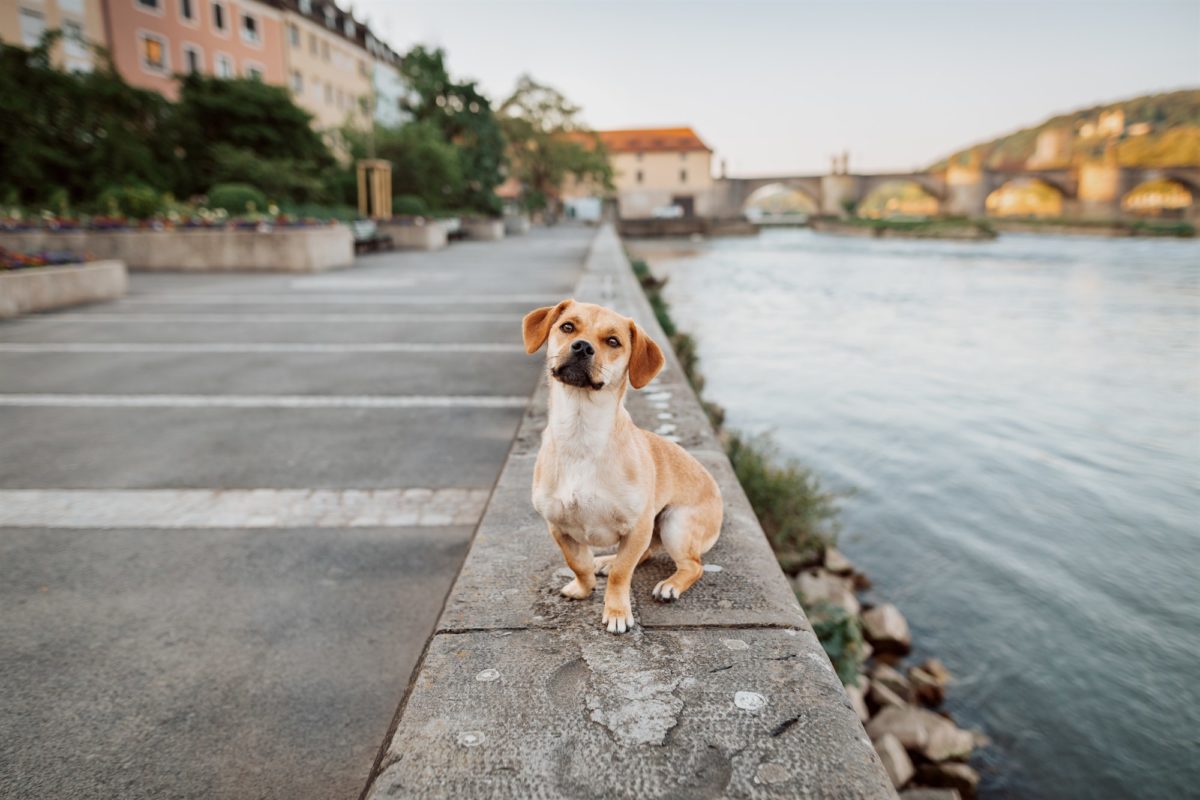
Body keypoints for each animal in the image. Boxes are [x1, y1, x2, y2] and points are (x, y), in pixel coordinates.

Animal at [523, 297, 720, 633]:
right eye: (567, 327)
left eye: (613, 342)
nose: (582, 347)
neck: (581, 433)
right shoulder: (558, 527)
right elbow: (578, 564)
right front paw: (584, 587)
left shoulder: (638, 526)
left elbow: (622, 575)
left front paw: (616, 612)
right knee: (647, 553)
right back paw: (606, 560)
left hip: (674, 524)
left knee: (693, 565)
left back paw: (670, 585)